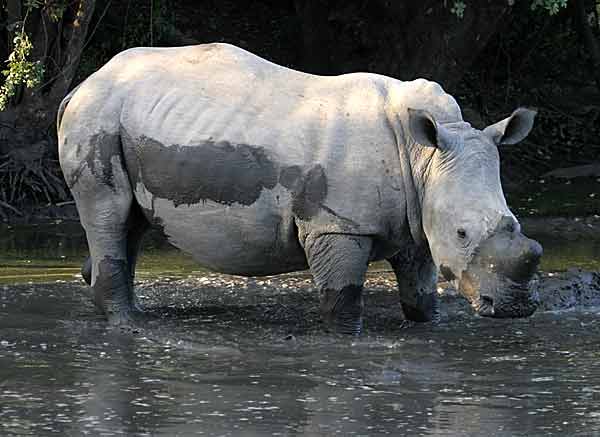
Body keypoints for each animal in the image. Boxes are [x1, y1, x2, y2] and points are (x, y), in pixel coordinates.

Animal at [58, 42, 540, 332]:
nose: (516, 307)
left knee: (129, 223)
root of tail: (80, 86)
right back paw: (130, 326)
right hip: (96, 118)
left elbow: (421, 299)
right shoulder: (336, 225)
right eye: (462, 233)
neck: (424, 157)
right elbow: (343, 303)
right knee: (108, 213)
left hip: (128, 126)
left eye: (515, 223)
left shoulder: (417, 218)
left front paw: (426, 324)